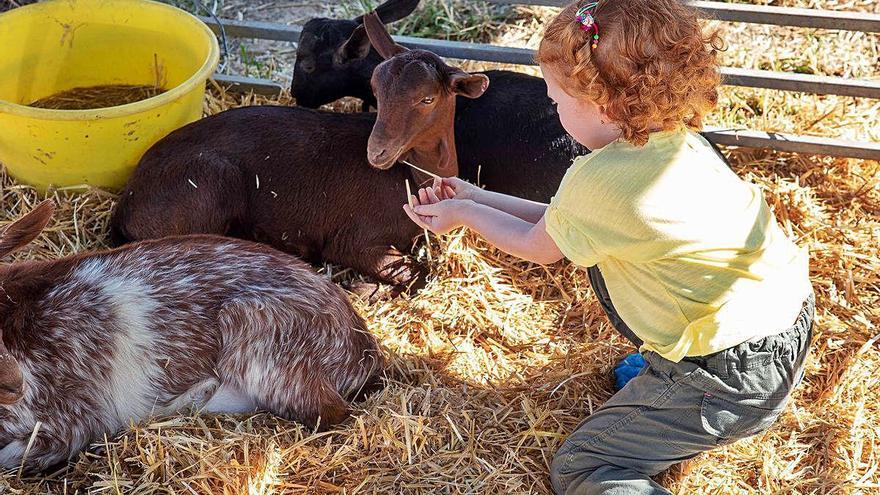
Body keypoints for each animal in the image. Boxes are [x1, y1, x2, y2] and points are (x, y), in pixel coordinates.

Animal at [0, 202, 384, 472]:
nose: (15, 384)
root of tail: (367, 350)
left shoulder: (69, 421)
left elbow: (13, 456)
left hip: (258, 329)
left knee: (330, 410)